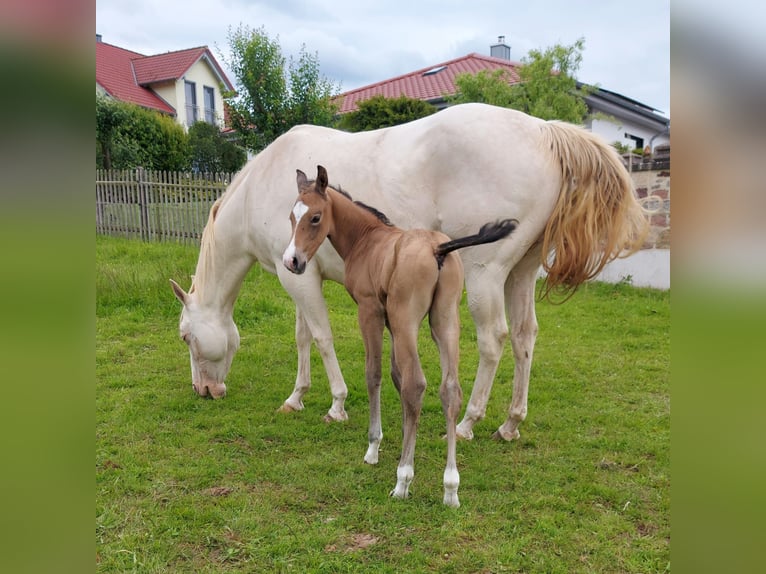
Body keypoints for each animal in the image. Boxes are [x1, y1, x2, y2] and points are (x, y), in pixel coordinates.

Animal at [170, 103, 648, 444]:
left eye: (186, 337)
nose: (203, 391)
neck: (261, 185)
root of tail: (545, 132)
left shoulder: (298, 278)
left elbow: (321, 338)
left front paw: (336, 404)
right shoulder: (299, 273)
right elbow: (303, 337)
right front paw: (296, 397)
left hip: (485, 276)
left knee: (494, 340)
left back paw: (468, 422)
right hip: (521, 275)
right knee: (524, 338)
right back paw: (510, 423)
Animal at [280, 164, 516, 506]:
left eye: (315, 217)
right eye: (291, 216)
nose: (292, 261)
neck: (367, 239)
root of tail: (437, 248)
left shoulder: (370, 312)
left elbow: (375, 374)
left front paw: (374, 447)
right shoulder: (391, 321)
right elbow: (395, 375)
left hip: (409, 321)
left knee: (417, 385)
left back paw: (403, 480)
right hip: (444, 322)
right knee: (449, 390)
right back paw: (450, 487)